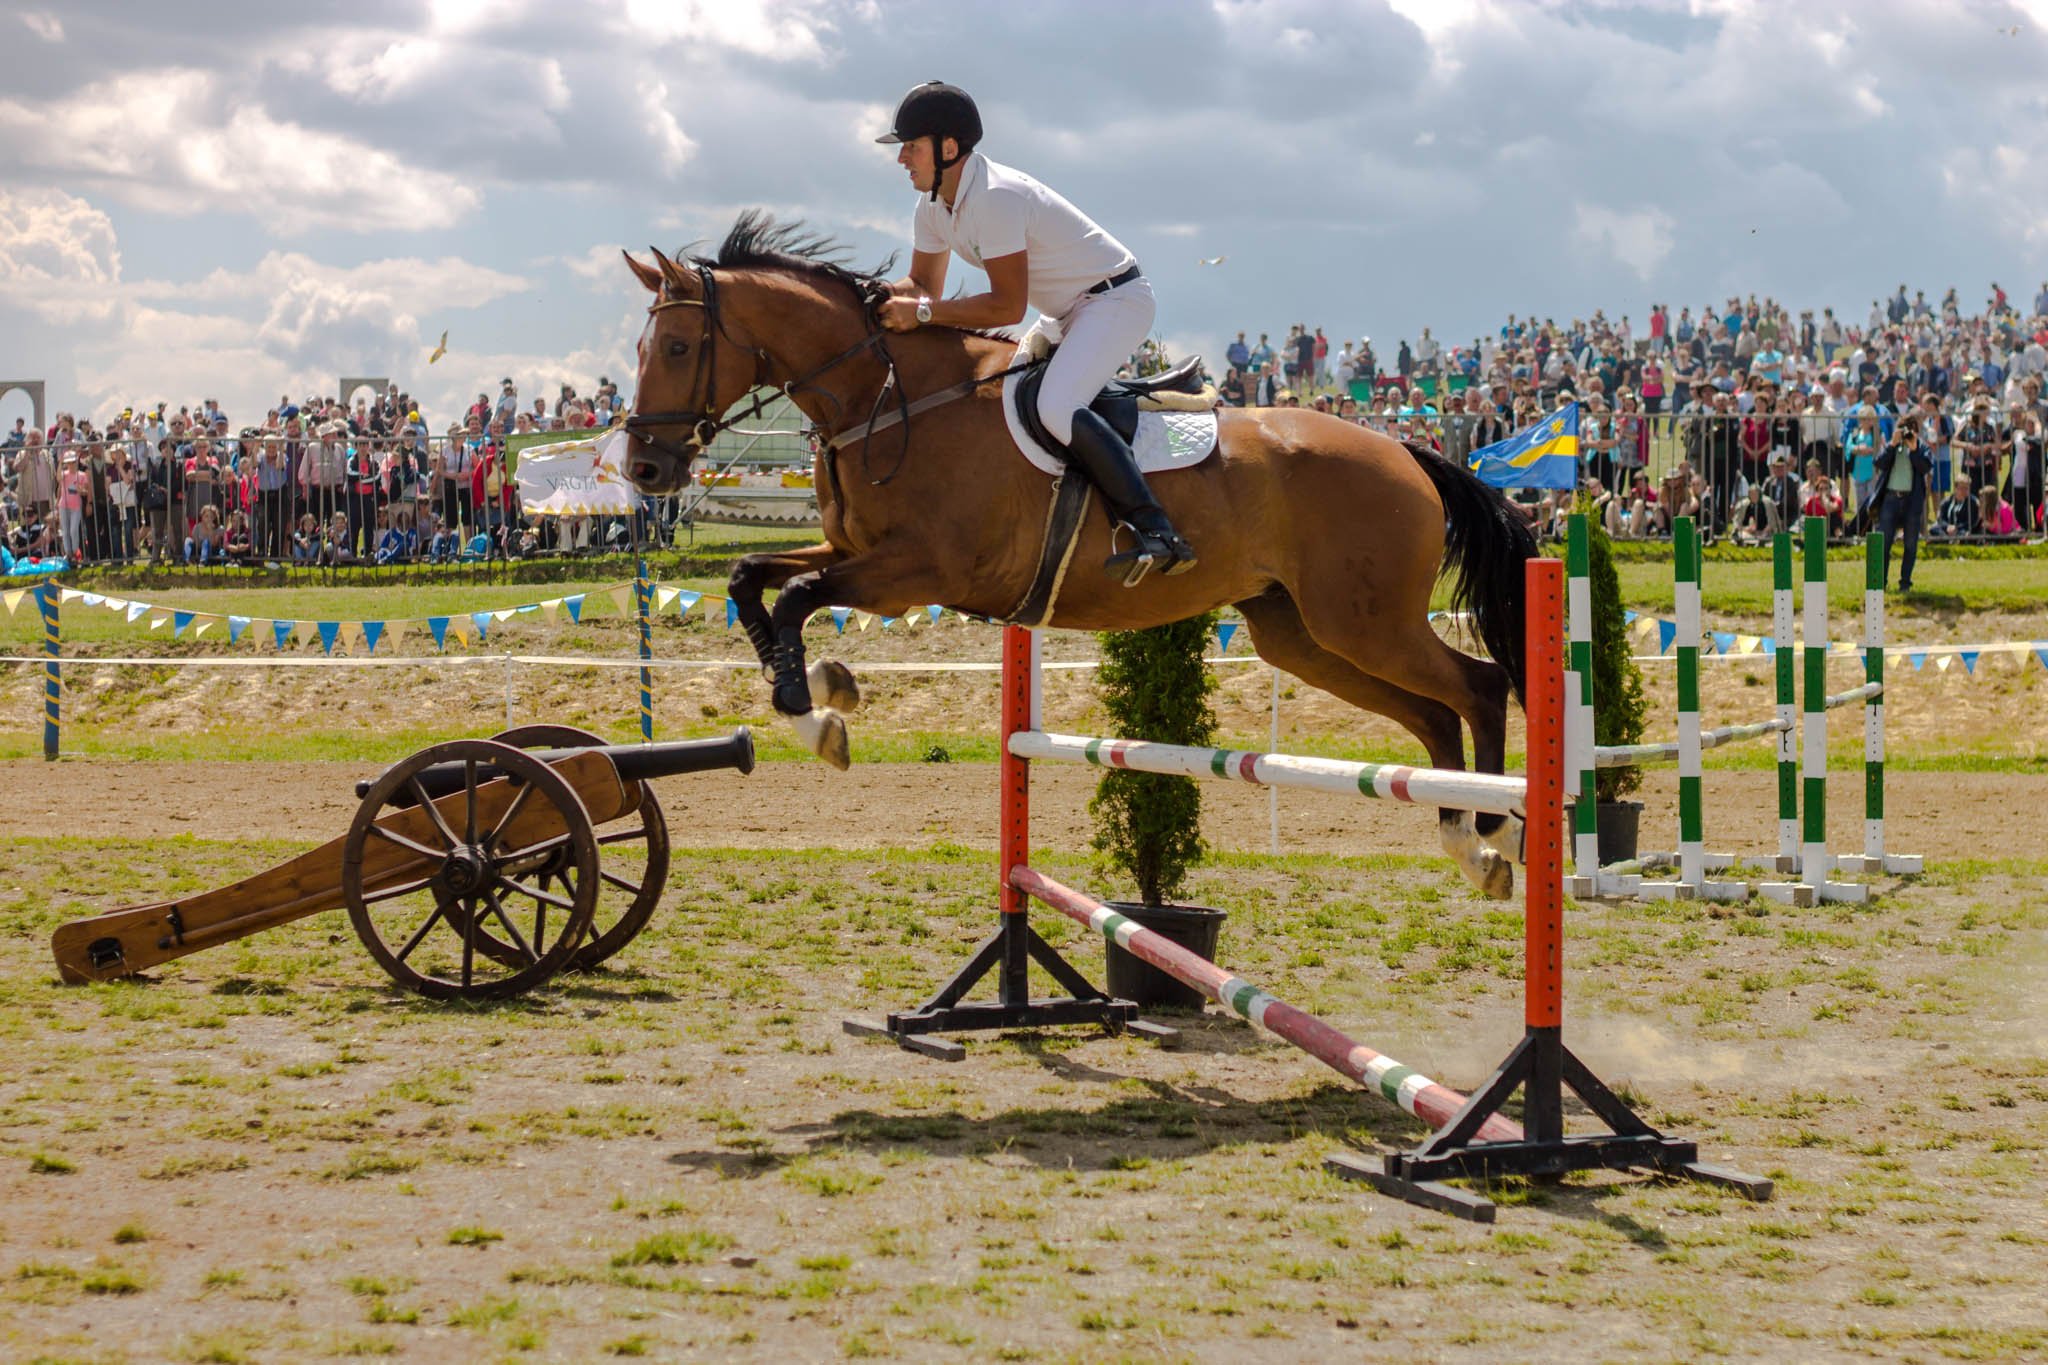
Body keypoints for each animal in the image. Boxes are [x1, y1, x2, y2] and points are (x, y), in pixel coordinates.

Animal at [622, 215, 1540, 896]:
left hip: (1363, 619)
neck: (886, 398)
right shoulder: (859, 550)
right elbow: (754, 578)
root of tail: (1408, 451)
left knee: (1478, 686)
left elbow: (797, 594)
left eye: (676, 349)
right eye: (640, 350)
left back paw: (1496, 826)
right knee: (1432, 713)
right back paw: (1469, 844)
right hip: (1303, 633)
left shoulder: (919, 571)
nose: (644, 469)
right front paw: (819, 694)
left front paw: (814, 707)